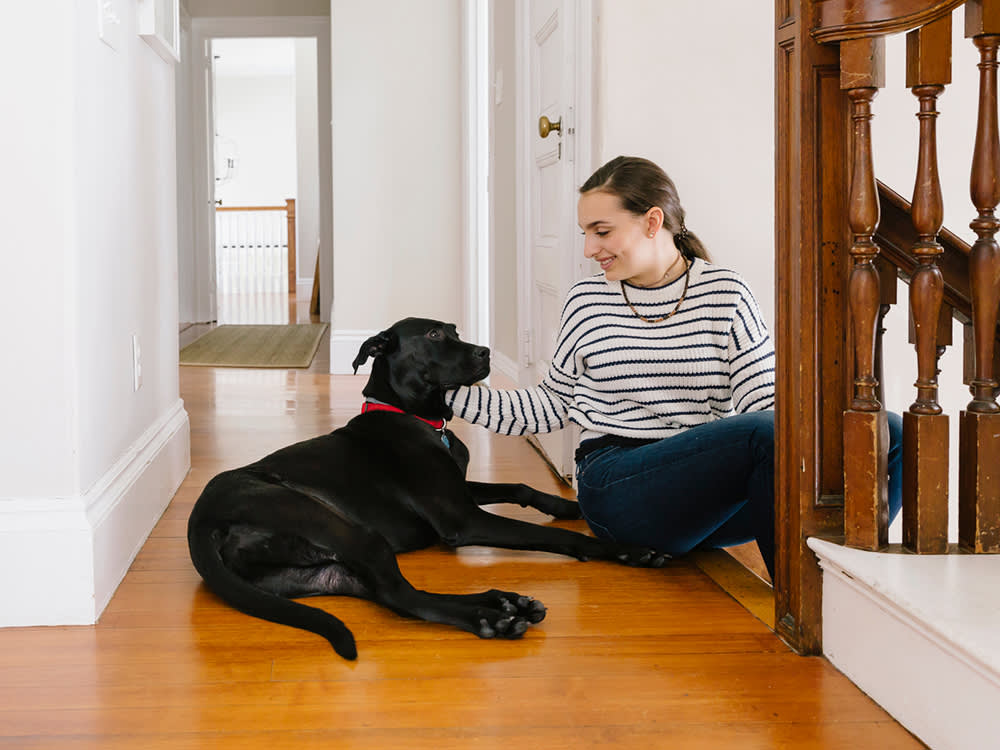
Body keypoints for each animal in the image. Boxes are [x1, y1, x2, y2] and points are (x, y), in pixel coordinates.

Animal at [190, 320, 668, 660]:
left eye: (455, 330)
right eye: (435, 334)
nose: (484, 351)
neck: (418, 419)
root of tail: (201, 524)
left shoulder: (460, 490)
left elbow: (518, 485)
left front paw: (565, 506)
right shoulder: (462, 518)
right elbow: (552, 537)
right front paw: (626, 549)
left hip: (315, 572)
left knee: (391, 593)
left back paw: (506, 602)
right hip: (346, 529)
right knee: (402, 597)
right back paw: (491, 618)